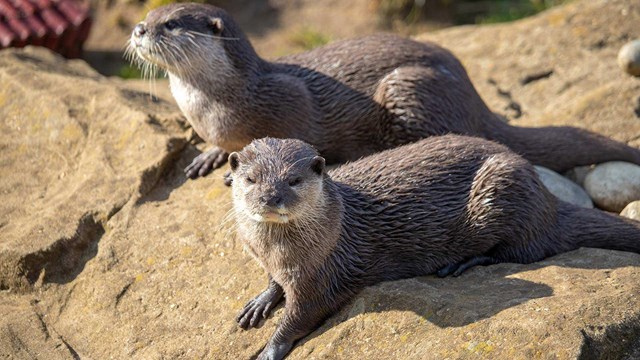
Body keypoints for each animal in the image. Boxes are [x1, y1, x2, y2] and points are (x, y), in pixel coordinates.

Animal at [126, 2, 640, 180]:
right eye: (148, 16)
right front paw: (210, 156)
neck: (218, 105)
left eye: (171, 23)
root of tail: (474, 98)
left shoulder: (289, 104)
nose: (137, 28)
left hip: (410, 88)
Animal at [229, 136, 640, 360]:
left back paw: (462, 263)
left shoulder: (323, 274)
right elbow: (274, 284)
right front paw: (261, 301)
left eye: (294, 181)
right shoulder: (274, 264)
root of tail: (547, 197)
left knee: (522, 249)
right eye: (250, 179)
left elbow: (301, 314)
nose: (270, 197)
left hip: (504, 191)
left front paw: (269, 347)